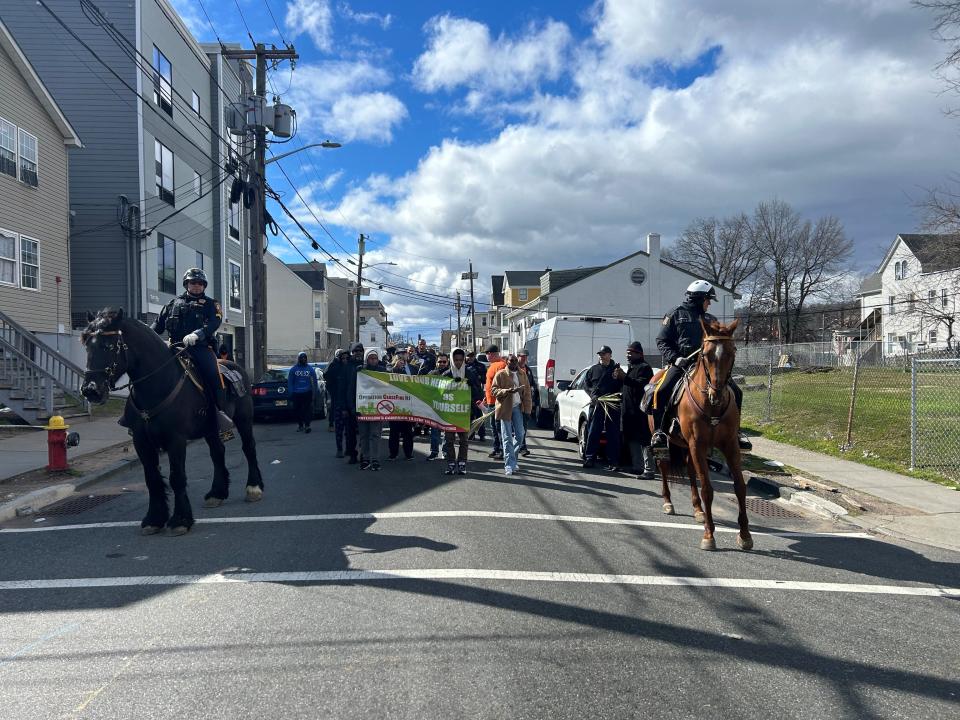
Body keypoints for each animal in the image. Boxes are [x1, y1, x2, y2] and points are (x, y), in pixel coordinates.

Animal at [80, 308, 262, 536]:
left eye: (109, 346)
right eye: (87, 345)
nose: (90, 390)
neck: (157, 385)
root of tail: (236, 366)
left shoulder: (176, 440)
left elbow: (177, 477)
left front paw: (181, 519)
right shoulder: (141, 442)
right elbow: (152, 479)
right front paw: (154, 519)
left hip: (244, 419)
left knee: (249, 448)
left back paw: (254, 488)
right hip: (211, 428)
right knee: (217, 453)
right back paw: (217, 493)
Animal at [652, 316, 752, 552]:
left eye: (732, 352)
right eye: (706, 354)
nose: (717, 393)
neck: (712, 406)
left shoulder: (729, 445)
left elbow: (740, 487)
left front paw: (745, 535)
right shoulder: (697, 444)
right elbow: (707, 488)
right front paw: (709, 535)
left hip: (687, 446)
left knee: (690, 471)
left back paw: (698, 510)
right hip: (665, 442)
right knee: (663, 467)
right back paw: (668, 502)